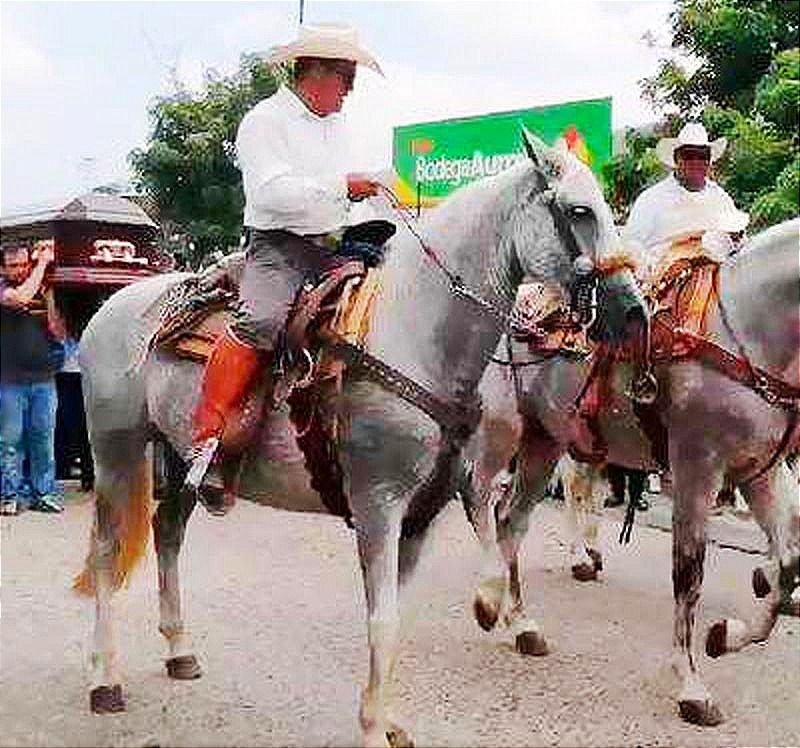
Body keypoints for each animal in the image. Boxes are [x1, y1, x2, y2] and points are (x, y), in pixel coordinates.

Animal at [72, 131, 640, 744]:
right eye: (579, 211)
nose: (634, 310)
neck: (414, 334)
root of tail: (116, 306)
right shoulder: (378, 506)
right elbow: (383, 619)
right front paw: (374, 725)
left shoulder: (423, 514)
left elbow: (407, 609)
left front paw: (391, 715)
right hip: (116, 453)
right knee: (105, 555)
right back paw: (103, 679)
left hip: (181, 463)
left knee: (168, 533)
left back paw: (179, 649)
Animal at [462, 215, 800, 724]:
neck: (749, 330)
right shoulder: (697, 469)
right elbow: (689, 575)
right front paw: (691, 684)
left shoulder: (761, 472)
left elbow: (786, 565)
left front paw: (726, 635)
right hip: (503, 428)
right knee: (478, 494)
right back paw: (489, 595)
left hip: (546, 440)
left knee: (512, 519)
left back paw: (521, 623)